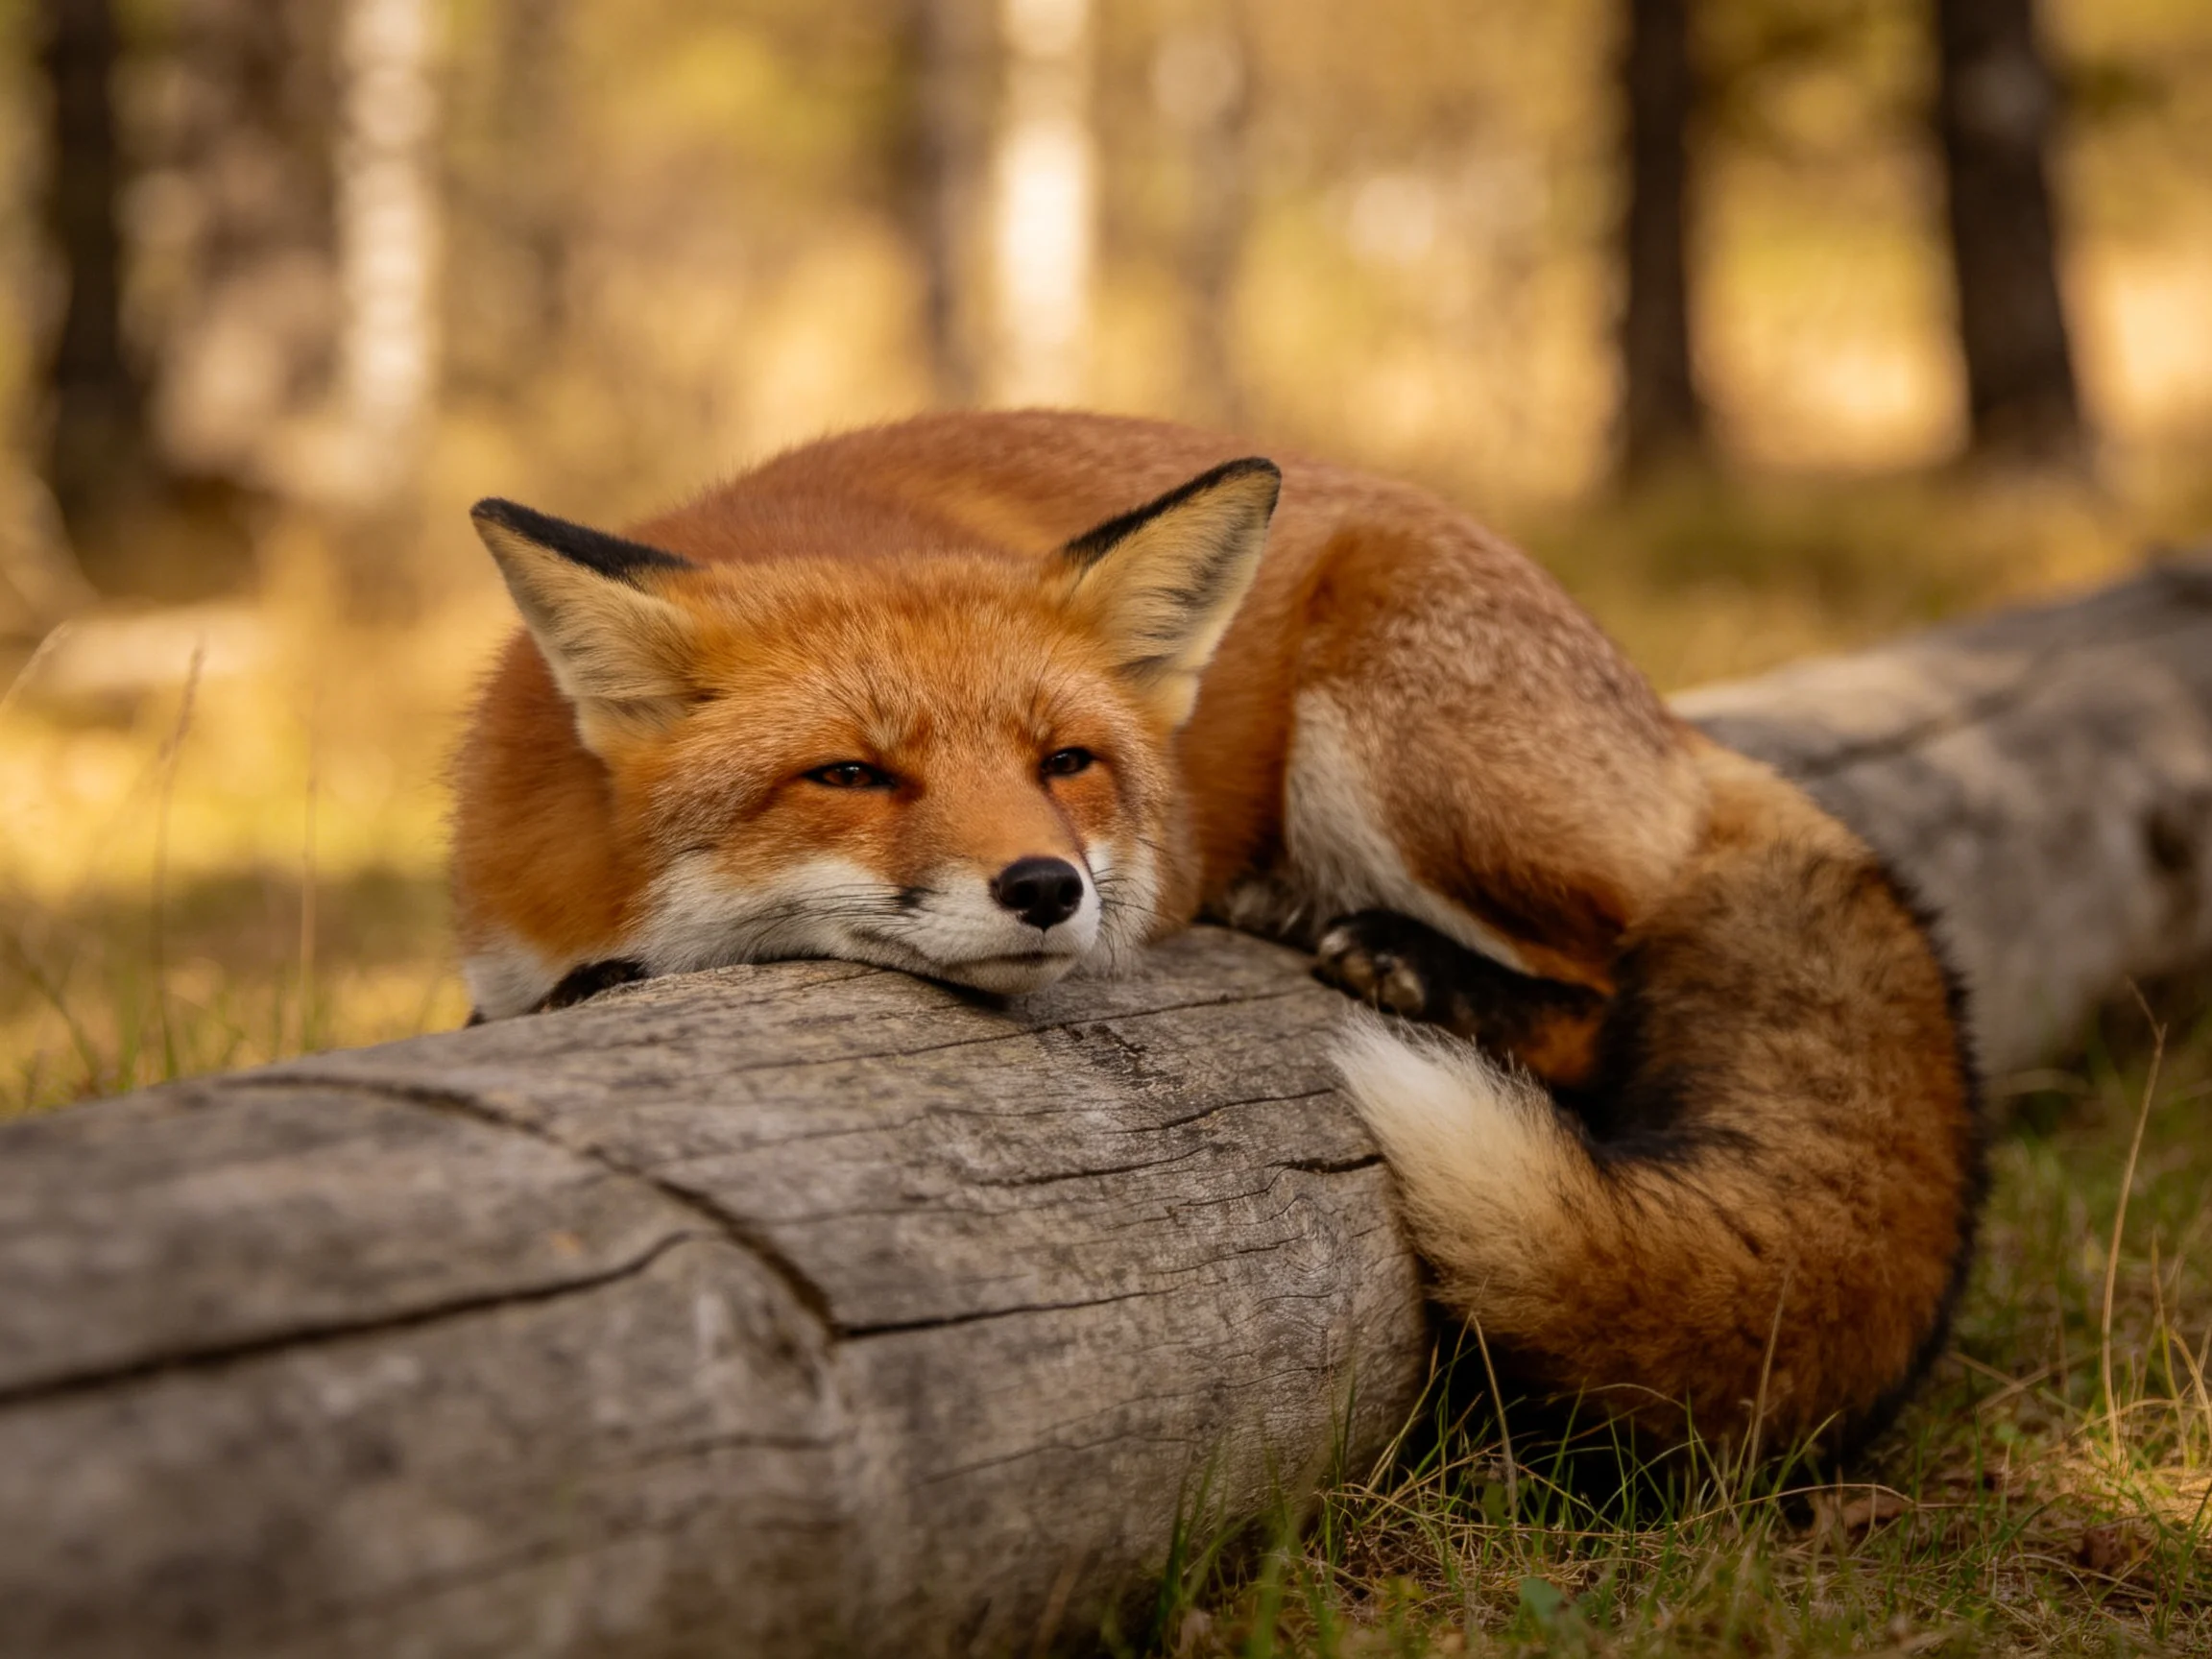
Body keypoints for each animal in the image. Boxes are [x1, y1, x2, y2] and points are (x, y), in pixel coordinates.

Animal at [452, 409, 1981, 1454]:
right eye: (851, 775)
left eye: (1065, 763)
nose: (1047, 888)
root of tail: (1664, 716)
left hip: (1402, 744)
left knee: (1603, 989)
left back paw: (1405, 958)